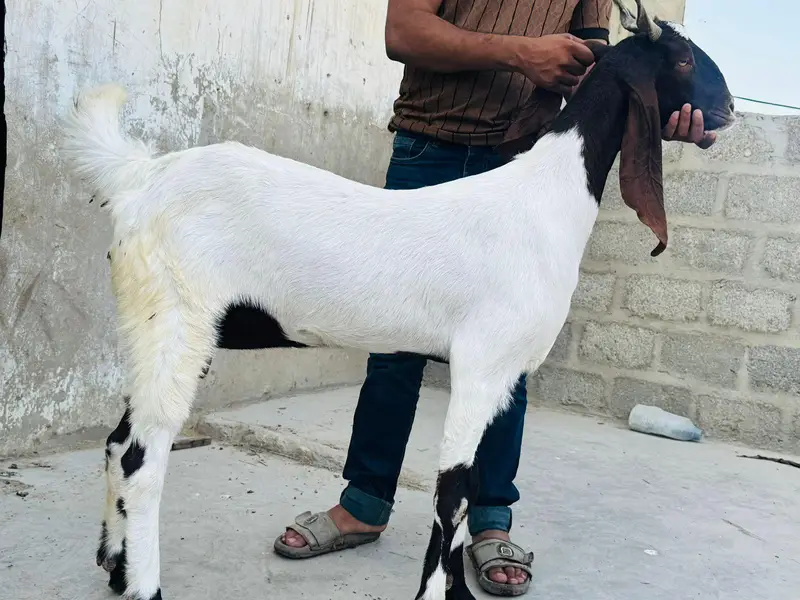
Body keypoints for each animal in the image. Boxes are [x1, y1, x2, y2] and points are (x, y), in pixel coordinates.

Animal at [60, 2, 734, 599]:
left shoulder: (501, 374)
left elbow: (475, 484)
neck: (545, 194)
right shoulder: (482, 362)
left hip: (154, 325)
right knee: (142, 458)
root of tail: (139, 178)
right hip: (177, 316)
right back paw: (144, 585)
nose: (727, 109)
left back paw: (115, 569)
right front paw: (434, 594)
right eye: (679, 60)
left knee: (118, 441)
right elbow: (452, 491)